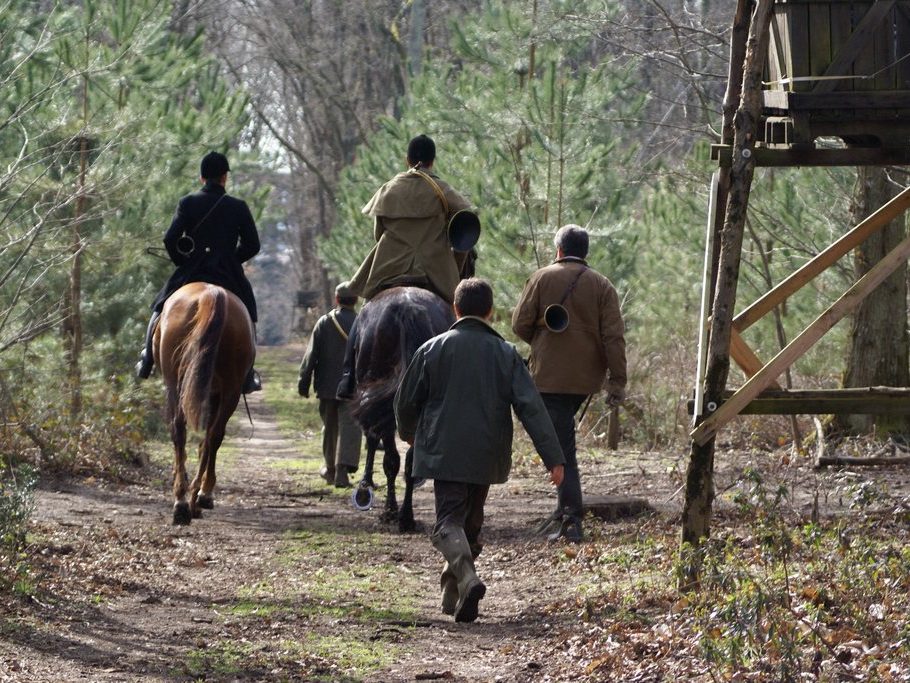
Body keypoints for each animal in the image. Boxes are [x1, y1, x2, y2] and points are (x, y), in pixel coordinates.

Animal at [156, 280, 256, 528]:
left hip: (177, 384)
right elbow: (206, 443)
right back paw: (194, 498)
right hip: (228, 390)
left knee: (183, 431)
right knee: (212, 435)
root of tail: (212, 293)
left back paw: (185, 501)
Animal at [350, 286, 456, 532]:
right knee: (406, 461)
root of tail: (408, 308)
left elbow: (374, 443)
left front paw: (365, 485)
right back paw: (405, 515)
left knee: (393, 459)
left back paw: (394, 512)